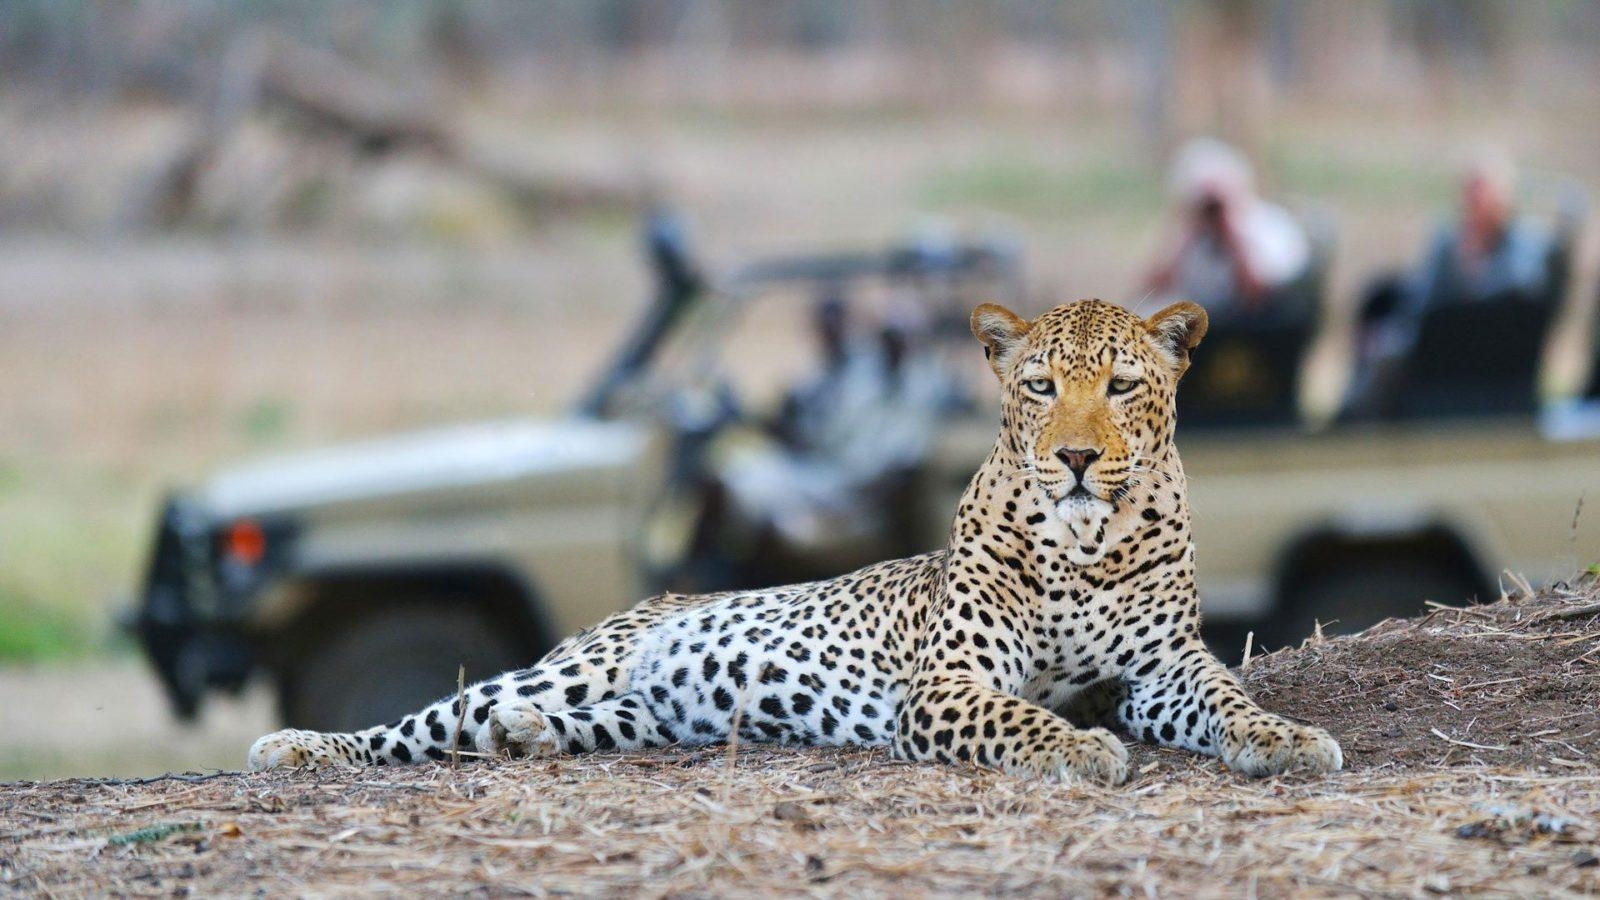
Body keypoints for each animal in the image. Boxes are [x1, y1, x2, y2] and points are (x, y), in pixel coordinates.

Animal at [249, 297, 1344, 781]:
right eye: (1039, 386)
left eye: (1121, 386)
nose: (1075, 458)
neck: (1085, 546)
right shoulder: (947, 686)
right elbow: (1022, 717)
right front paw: (1079, 749)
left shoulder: (1159, 669)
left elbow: (1225, 696)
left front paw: (1285, 738)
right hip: (564, 667)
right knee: (420, 722)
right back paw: (297, 747)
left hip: (641, 716)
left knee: (524, 727)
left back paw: (526, 740)